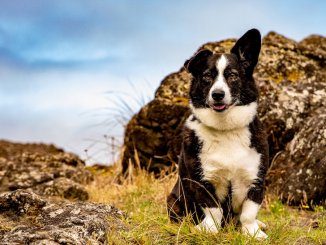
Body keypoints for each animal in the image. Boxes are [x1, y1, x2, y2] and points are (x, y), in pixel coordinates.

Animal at [167, 29, 268, 239]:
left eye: (233, 75)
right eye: (207, 76)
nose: (218, 94)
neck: (225, 129)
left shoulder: (256, 179)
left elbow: (249, 212)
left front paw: (252, 233)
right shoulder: (201, 180)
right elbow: (214, 210)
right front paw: (209, 230)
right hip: (173, 200)